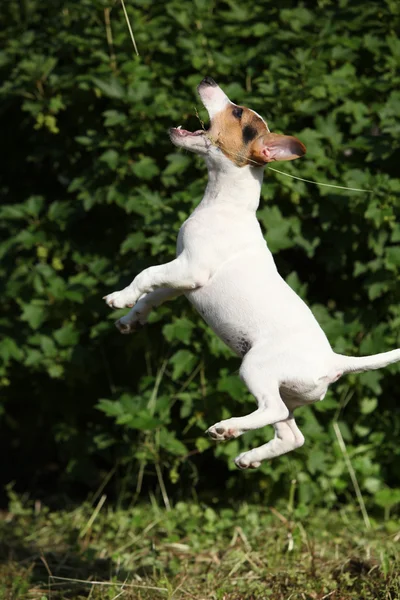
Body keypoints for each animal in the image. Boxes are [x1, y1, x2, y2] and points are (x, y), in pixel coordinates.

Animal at [104, 76, 400, 468]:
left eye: (237, 112)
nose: (207, 79)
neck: (223, 201)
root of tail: (334, 361)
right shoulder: (182, 280)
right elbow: (151, 295)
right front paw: (130, 320)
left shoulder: (191, 269)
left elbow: (146, 275)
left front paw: (118, 298)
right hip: (287, 391)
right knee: (292, 434)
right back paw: (248, 455)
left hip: (255, 367)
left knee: (273, 411)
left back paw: (226, 428)